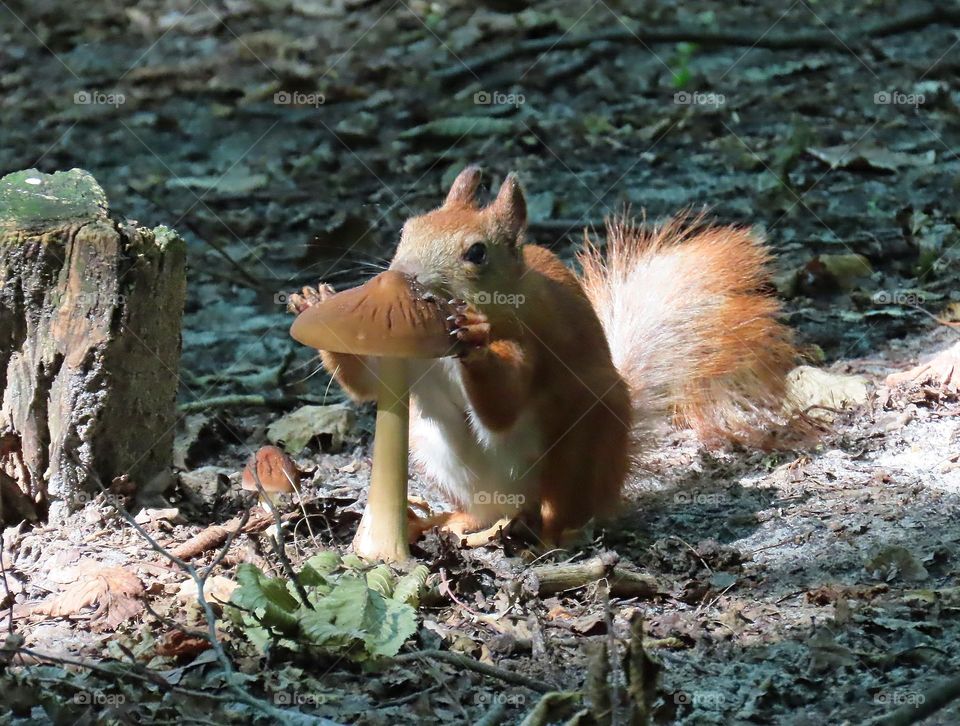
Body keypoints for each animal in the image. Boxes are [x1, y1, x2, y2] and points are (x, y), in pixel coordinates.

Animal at [290, 166, 796, 544]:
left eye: (477, 253)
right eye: (406, 231)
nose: (406, 279)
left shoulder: (533, 340)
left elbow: (503, 404)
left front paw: (474, 337)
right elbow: (369, 385)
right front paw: (315, 302)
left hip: (579, 449)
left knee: (563, 511)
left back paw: (554, 539)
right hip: (439, 458)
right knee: (482, 514)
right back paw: (444, 523)